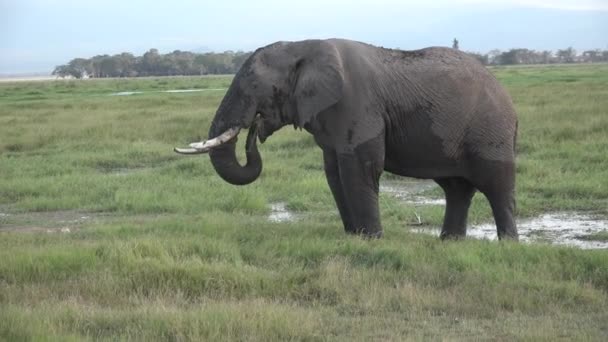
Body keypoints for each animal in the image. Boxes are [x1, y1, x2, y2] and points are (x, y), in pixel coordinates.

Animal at [175, 38, 516, 240]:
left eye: (254, 86)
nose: (255, 129)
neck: (302, 47)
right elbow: (334, 173)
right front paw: (354, 237)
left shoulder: (358, 105)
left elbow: (360, 168)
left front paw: (371, 240)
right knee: (456, 188)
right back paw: (449, 242)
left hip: (490, 130)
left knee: (496, 184)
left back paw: (507, 244)